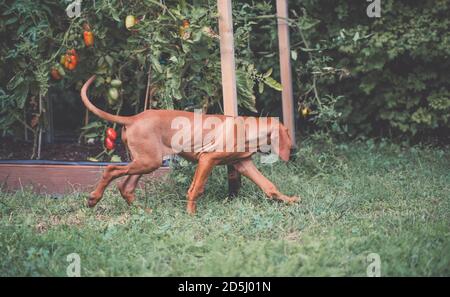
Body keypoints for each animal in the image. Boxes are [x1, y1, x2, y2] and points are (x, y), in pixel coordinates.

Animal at [81, 74, 298, 213]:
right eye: (287, 134)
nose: (294, 151)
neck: (246, 129)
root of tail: (133, 118)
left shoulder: (243, 164)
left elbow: (269, 187)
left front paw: (290, 200)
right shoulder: (207, 159)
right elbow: (196, 189)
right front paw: (191, 214)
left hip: (146, 160)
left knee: (126, 187)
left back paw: (144, 211)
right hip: (148, 161)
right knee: (111, 169)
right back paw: (93, 199)